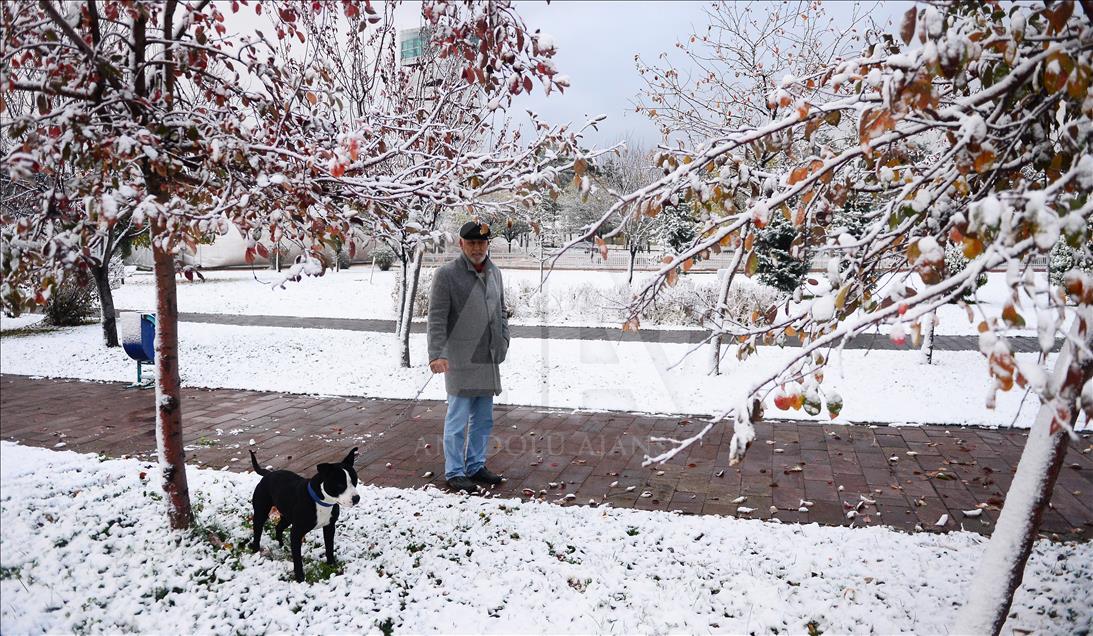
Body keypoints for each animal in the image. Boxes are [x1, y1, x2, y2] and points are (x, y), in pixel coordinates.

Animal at [248, 448, 358, 581]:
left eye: (355, 481)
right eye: (340, 485)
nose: (356, 498)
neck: (322, 501)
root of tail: (268, 474)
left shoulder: (329, 527)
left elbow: (329, 548)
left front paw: (332, 565)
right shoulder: (296, 533)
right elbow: (297, 559)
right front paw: (300, 578)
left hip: (287, 517)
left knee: (278, 527)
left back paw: (282, 545)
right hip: (261, 513)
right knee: (257, 533)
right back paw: (256, 551)